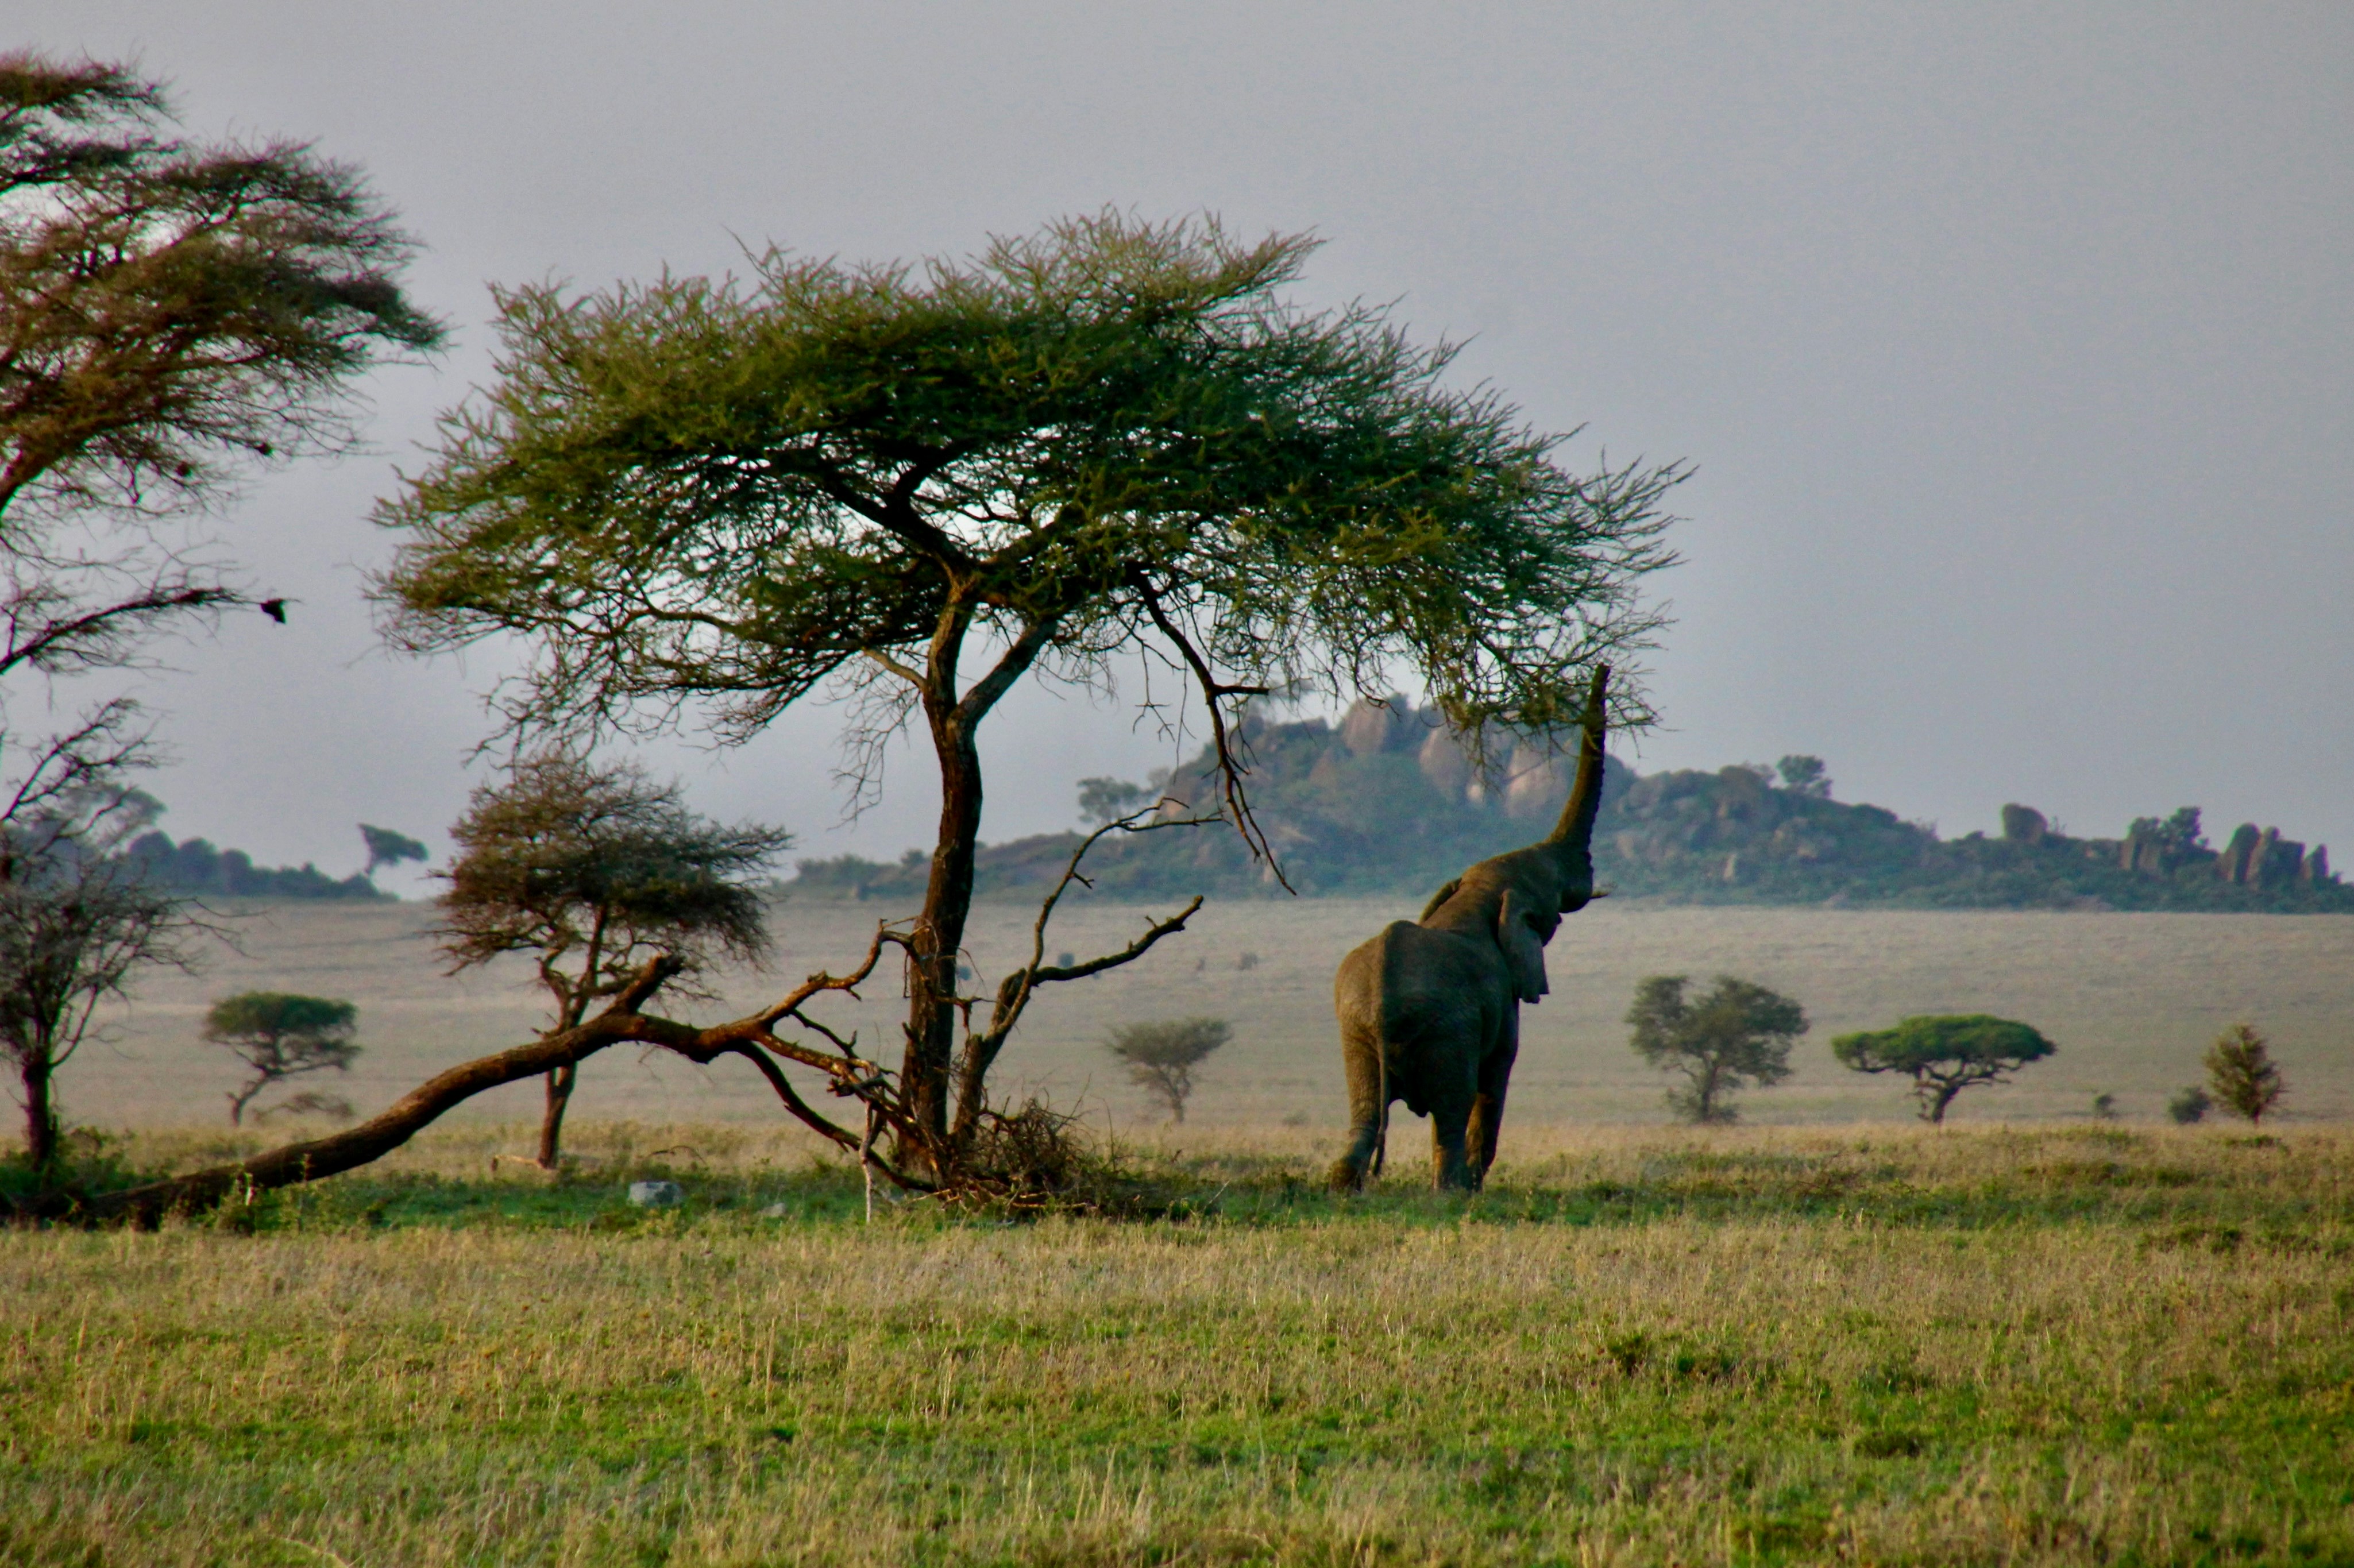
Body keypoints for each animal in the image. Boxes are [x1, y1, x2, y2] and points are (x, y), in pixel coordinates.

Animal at [1328, 667, 1612, 1191]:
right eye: (1552, 896)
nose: (1602, 668)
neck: (1477, 895)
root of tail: (1382, 997)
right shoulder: (1503, 999)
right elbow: (1497, 1075)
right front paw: (1476, 1187)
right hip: (1447, 1028)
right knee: (1452, 1107)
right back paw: (1453, 1192)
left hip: (1354, 1028)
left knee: (1365, 1112)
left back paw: (1344, 1188)